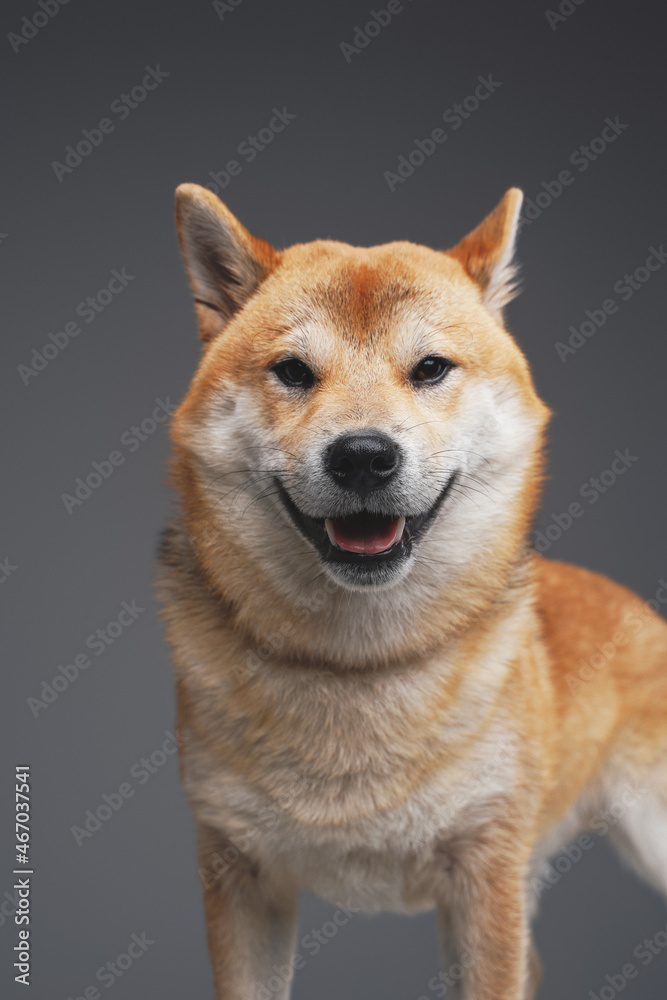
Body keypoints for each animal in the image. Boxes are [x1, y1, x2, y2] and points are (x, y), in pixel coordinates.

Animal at [158, 182, 667, 1000]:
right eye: (292, 371)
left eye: (429, 368)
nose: (363, 456)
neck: (358, 666)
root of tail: (636, 607)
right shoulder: (237, 872)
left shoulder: (486, 873)